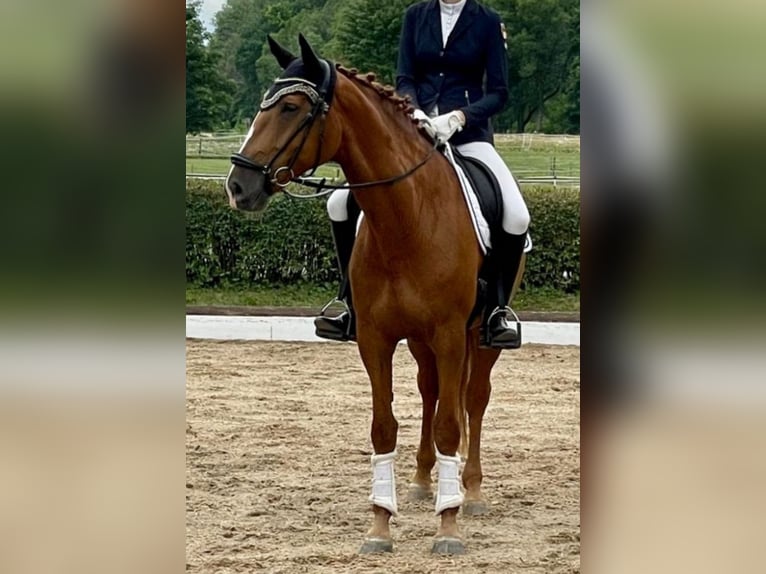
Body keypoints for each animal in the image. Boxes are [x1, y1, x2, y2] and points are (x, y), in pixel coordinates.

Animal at [224, 33, 520, 556]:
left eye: (292, 107)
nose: (239, 186)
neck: (406, 217)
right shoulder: (376, 338)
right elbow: (384, 427)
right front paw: (381, 524)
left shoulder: (449, 335)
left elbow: (450, 424)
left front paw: (448, 527)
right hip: (420, 342)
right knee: (430, 391)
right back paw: (422, 482)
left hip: (478, 338)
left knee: (474, 399)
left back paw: (471, 491)